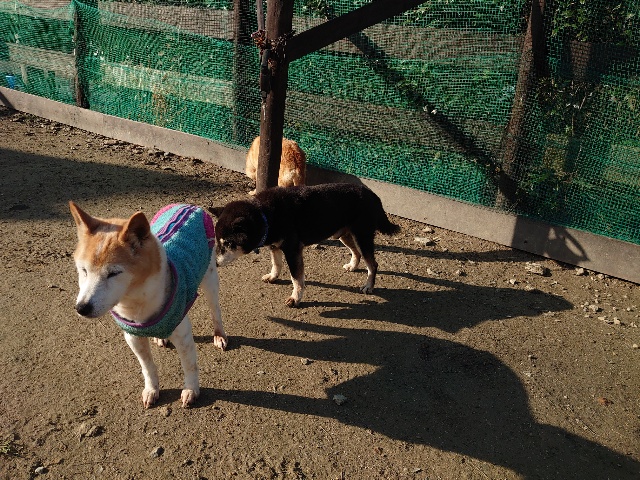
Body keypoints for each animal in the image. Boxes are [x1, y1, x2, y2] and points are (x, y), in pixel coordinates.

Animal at [69, 201, 227, 408]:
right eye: (83, 270)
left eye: (114, 273)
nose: (82, 308)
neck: (135, 302)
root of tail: (188, 205)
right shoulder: (133, 338)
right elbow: (148, 367)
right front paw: (152, 389)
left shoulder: (183, 336)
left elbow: (189, 366)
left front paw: (191, 390)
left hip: (210, 280)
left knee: (215, 311)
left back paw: (219, 335)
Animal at [210, 184, 400, 307]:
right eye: (218, 241)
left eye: (228, 243)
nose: (215, 263)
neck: (266, 214)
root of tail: (372, 194)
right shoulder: (275, 246)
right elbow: (276, 264)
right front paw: (273, 276)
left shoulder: (293, 251)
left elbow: (296, 278)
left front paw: (296, 298)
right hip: (344, 235)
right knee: (357, 253)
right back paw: (353, 266)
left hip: (362, 236)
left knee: (373, 264)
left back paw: (369, 286)